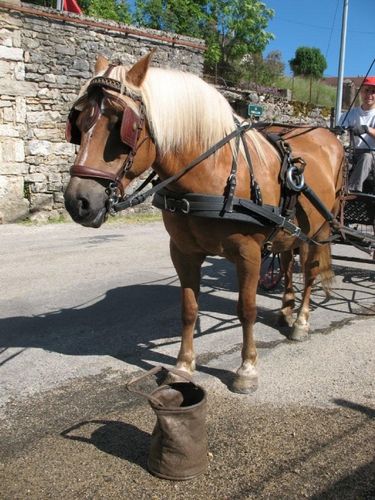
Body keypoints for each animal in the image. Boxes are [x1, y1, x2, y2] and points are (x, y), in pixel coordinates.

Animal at [63, 52, 346, 392]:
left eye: (121, 124)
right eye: (78, 123)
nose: (78, 201)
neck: (214, 171)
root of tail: (329, 136)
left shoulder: (249, 255)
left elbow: (246, 309)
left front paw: (247, 369)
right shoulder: (183, 252)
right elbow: (188, 308)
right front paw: (183, 365)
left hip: (319, 229)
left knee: (310, 271)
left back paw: (301, 321)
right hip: (290, 232)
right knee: (288, 263)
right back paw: (286, 311)